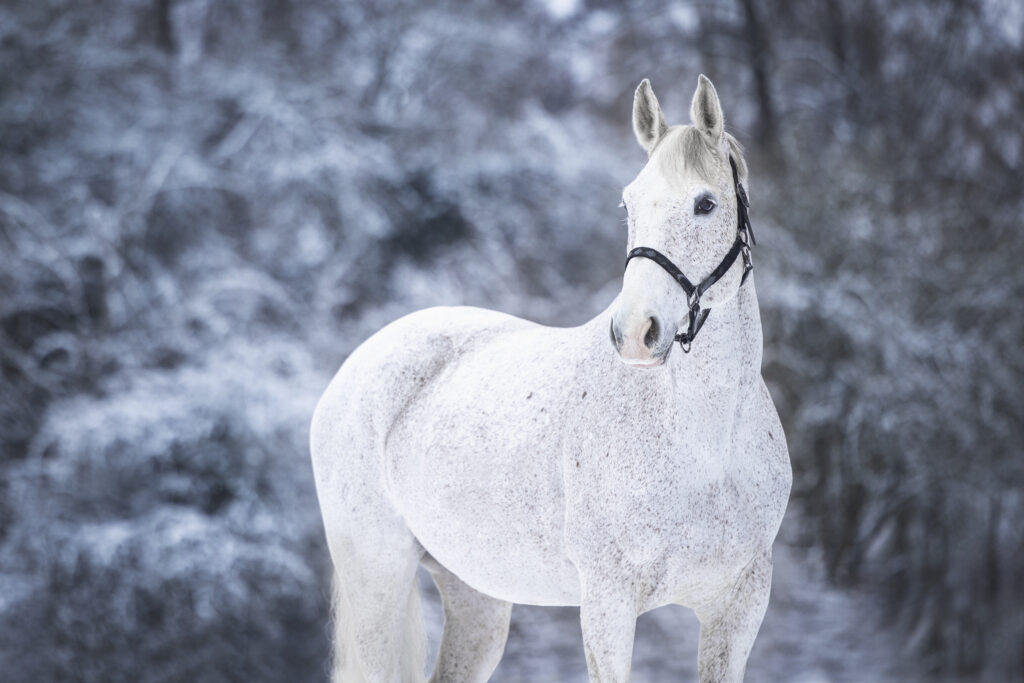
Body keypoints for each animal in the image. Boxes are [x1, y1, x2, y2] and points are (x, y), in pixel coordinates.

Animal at [311, 76, 790, 683]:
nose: (635, 332)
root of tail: (359, 361)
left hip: (475, 596)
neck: (706, 447)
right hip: (378, 578)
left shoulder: (739, 606)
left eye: (706, 204)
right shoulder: (608, 603)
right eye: (629, 203)